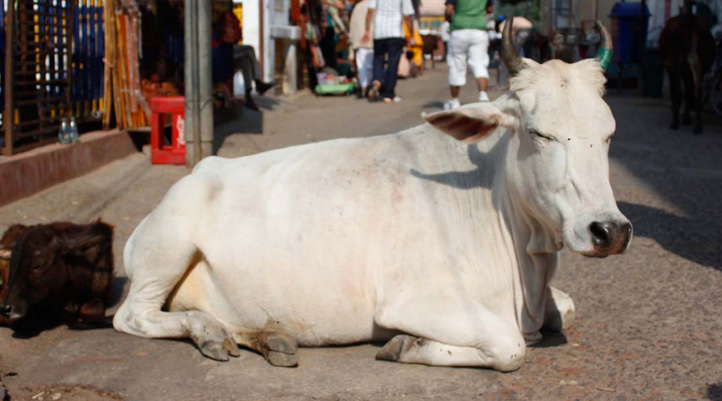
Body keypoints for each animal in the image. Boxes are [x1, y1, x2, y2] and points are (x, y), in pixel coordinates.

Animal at [114, 20, 632, 370]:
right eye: (537, 133)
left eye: (609, 133)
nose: (609, 230)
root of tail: (202, 169)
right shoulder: (411, 303)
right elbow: (510, 346)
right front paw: (405, 345)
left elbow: (566, 309)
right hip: (166, 250)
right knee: (133, 317)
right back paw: (209, 333)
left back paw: (257, 336)